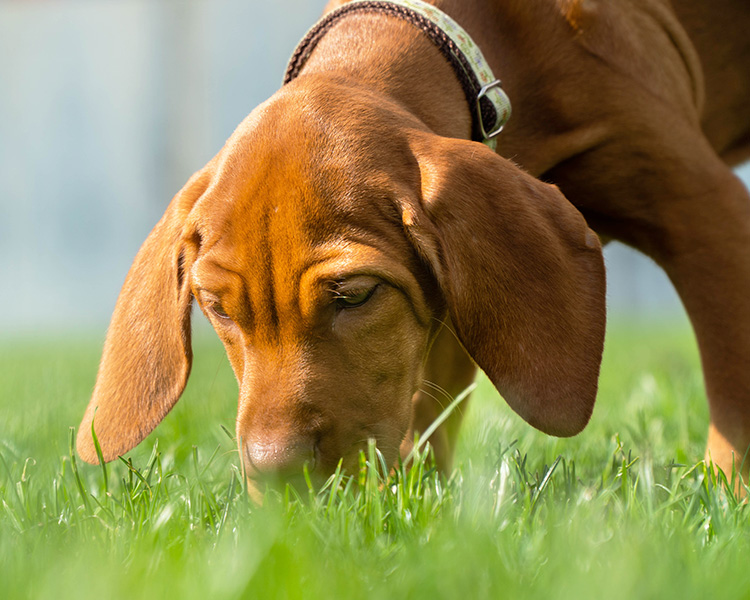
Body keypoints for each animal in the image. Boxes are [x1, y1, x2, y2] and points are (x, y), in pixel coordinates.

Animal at [78, 0, 750, 492]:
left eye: (354, 295)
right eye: (217, 309)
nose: (277, 476)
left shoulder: (710, 215)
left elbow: (734, 395)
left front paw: (728, 496)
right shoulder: (447, 295)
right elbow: (428, 414)